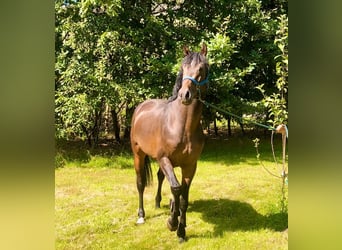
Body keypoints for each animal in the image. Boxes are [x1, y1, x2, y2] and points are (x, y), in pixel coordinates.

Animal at [130, 42, 208, 240]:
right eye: (183, 67)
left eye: (201, 68)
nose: (185, 95)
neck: (182, 126)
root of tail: (141, 107)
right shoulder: (165, 159)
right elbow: (176, 188)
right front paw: (172, 223)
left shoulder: (190, 165)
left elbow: (184, 197)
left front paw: (181, 230)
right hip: (138, 154)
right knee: (140, 183)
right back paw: (141, 215)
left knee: (159, 177)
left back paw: (159, 203)